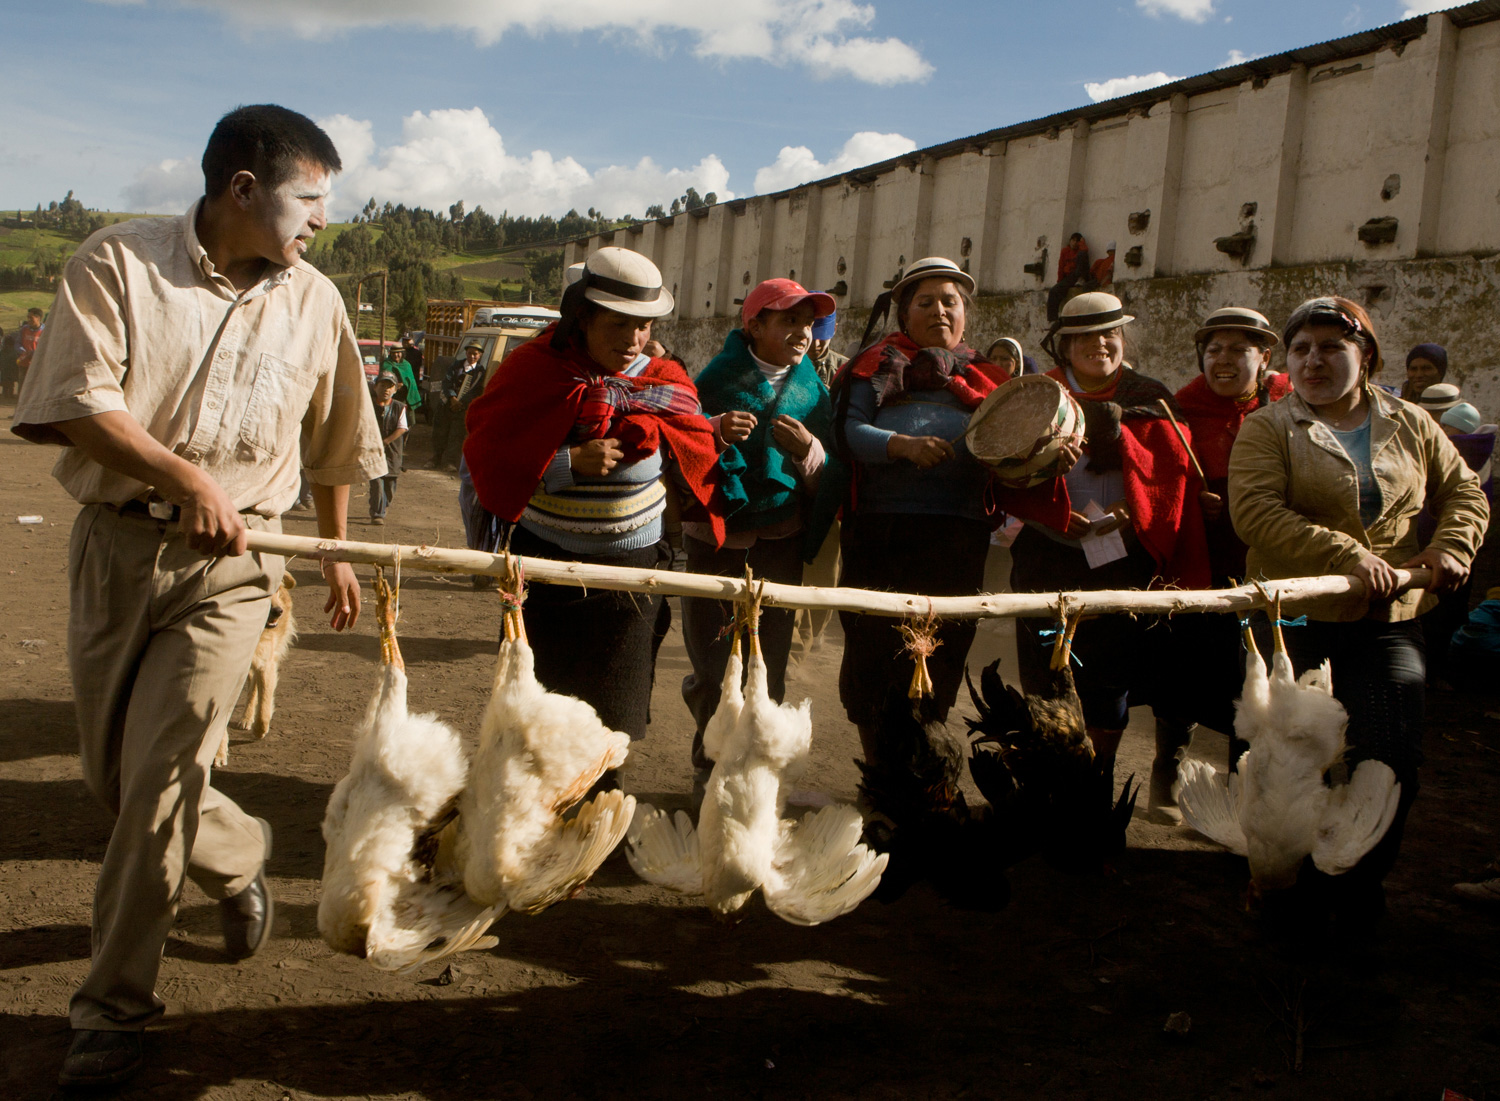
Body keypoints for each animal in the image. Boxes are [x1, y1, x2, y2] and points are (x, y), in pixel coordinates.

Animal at [217, 579, 298, 768]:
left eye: (276, 589)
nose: (278, 611)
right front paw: (219, 753)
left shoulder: (266, 666)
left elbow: (264, 711)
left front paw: (259, 730)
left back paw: (248, 719)